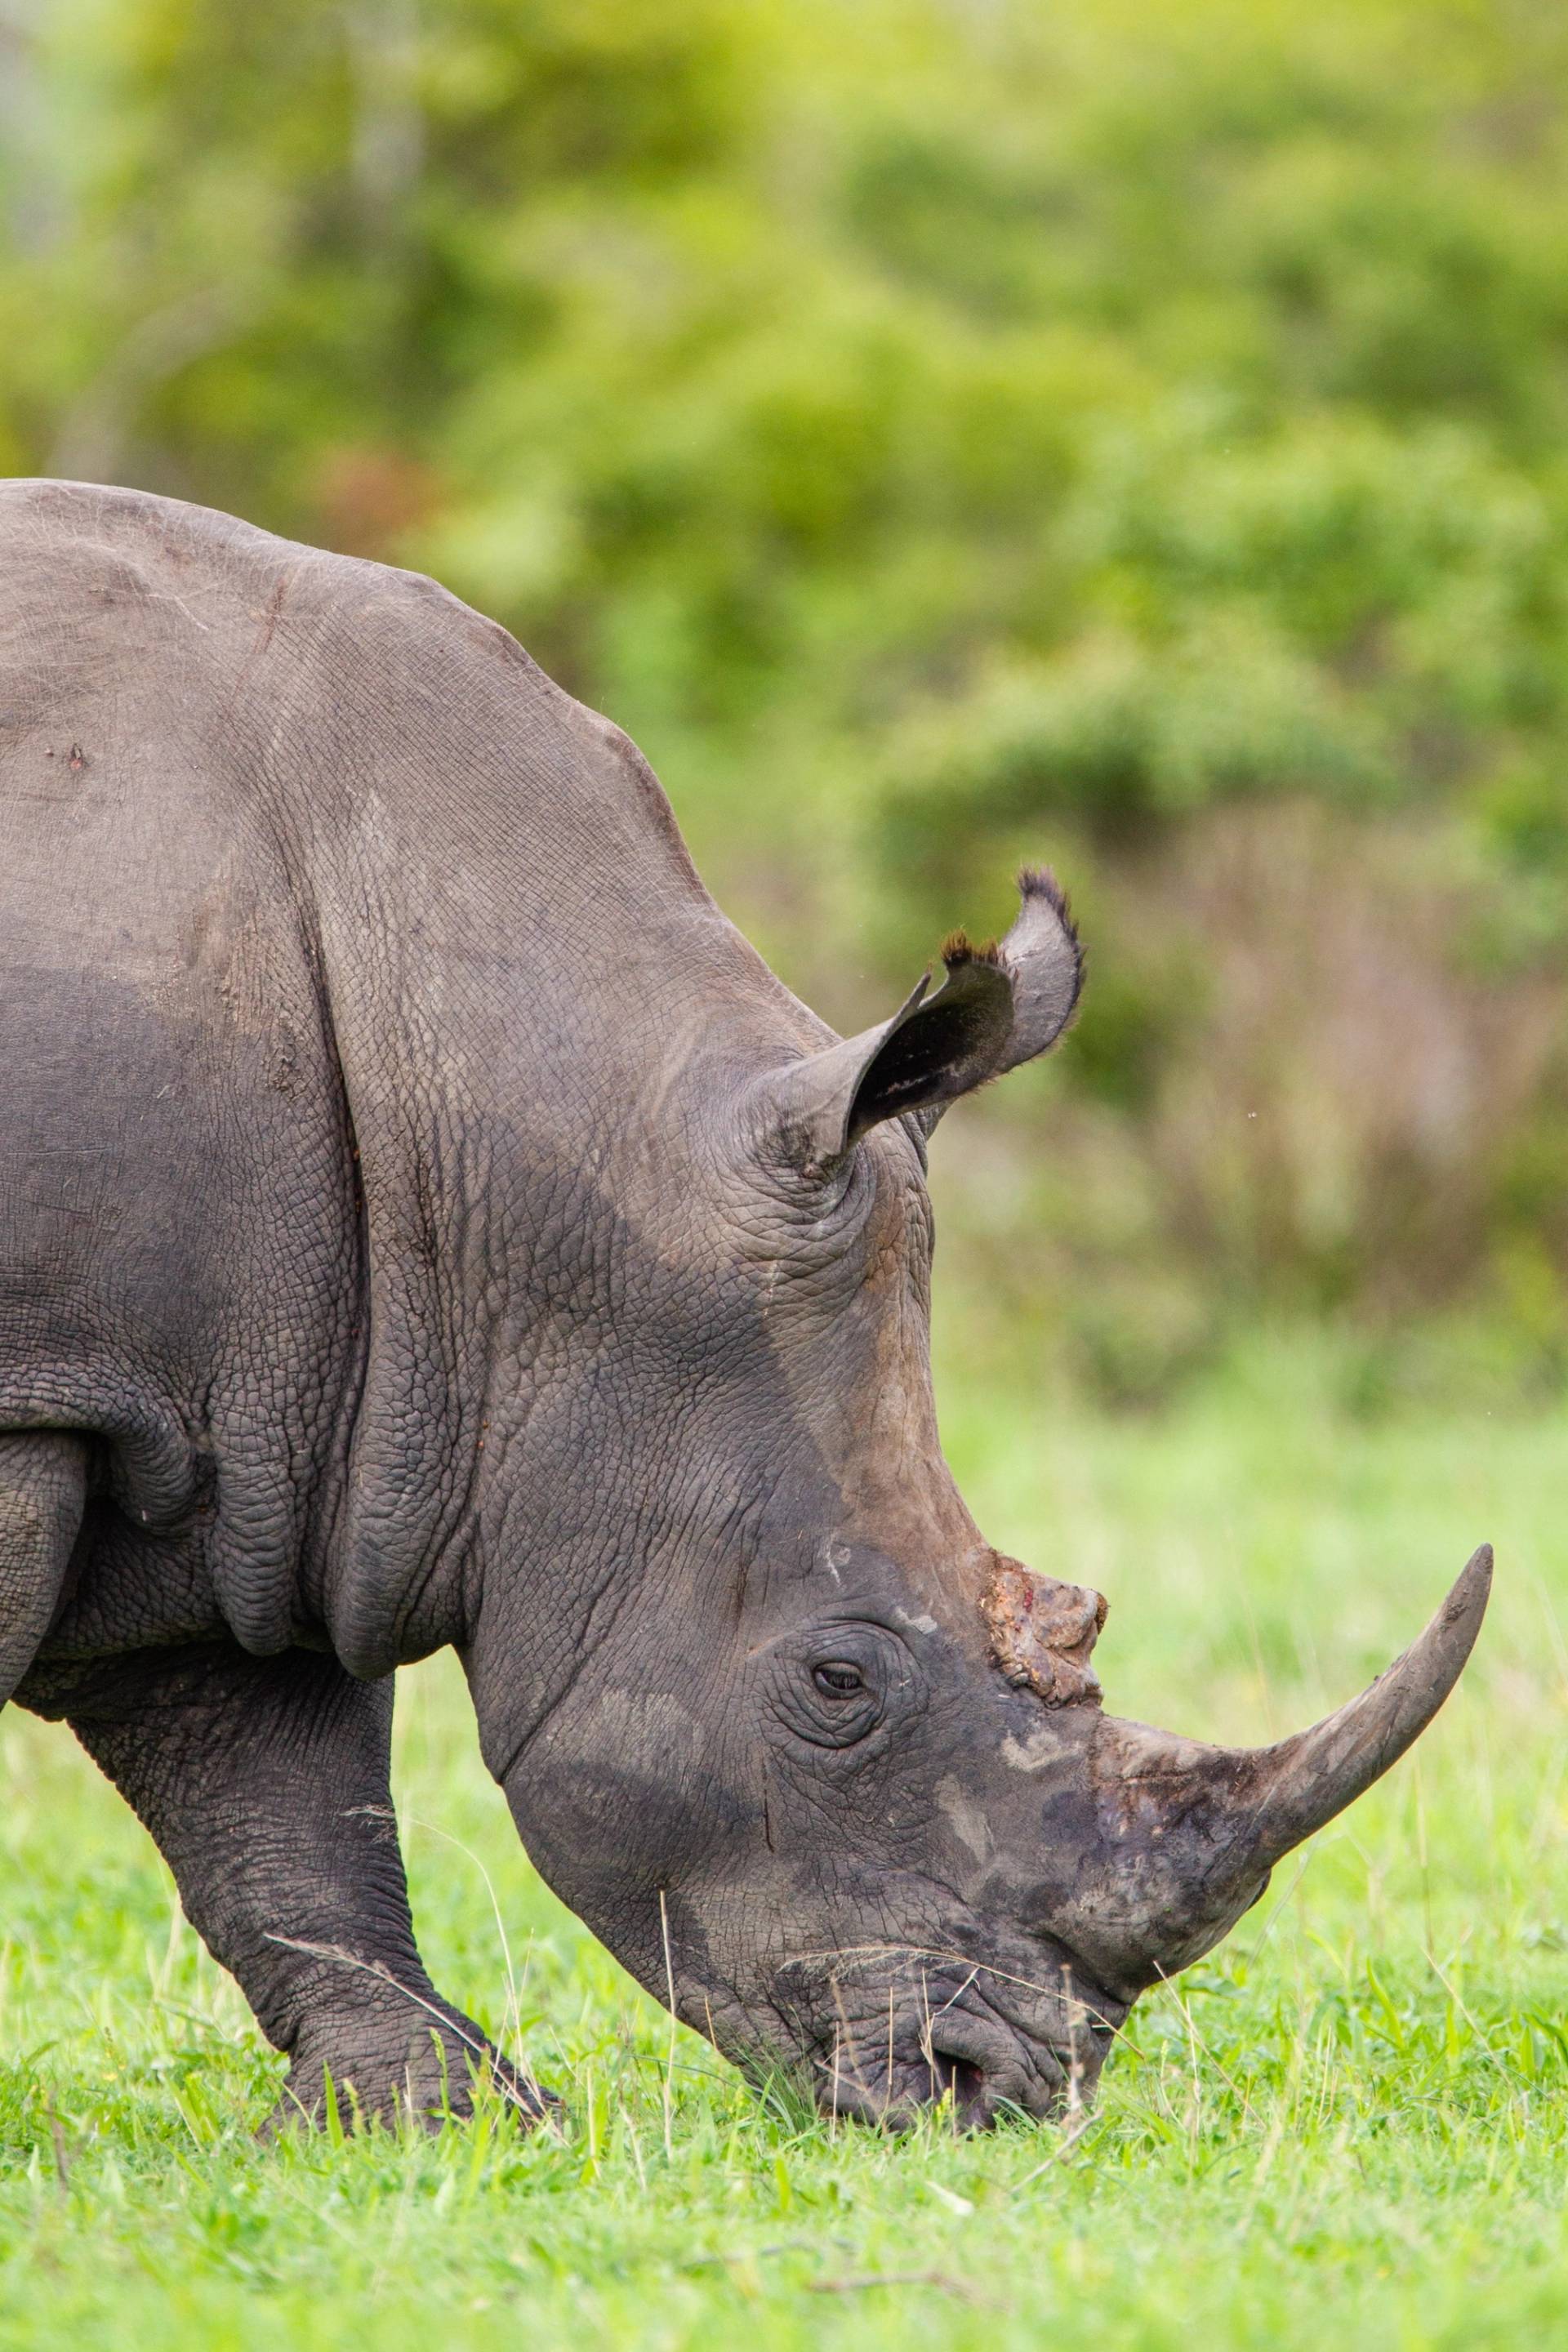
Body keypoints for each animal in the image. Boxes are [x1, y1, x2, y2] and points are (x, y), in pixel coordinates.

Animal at [0, 479, 1489, 2131]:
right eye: (838, 1682)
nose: (991, 2096)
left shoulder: (251, 1419)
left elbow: (279, 1802)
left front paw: (424, 2123)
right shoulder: (75, 1390)